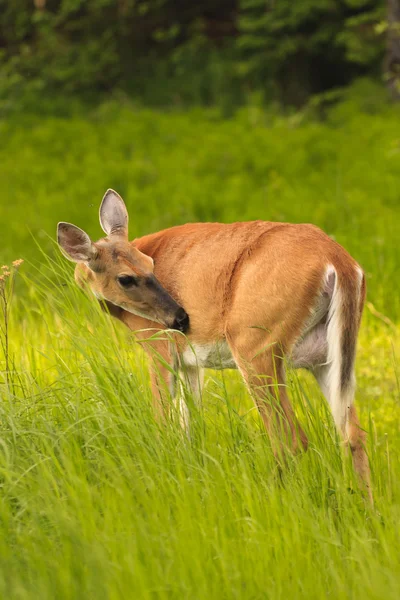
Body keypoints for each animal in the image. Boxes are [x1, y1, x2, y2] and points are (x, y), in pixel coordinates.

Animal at [57, 189, 372, 502]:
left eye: (150, 264)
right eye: (127, 277)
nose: (181, 318)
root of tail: (340, 262)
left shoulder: (158, 344)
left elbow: (163, 419)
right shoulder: (190, 362)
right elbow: (191, 425)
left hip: (254, 343)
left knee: (291, 438)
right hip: (325, 356)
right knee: (353, 434)